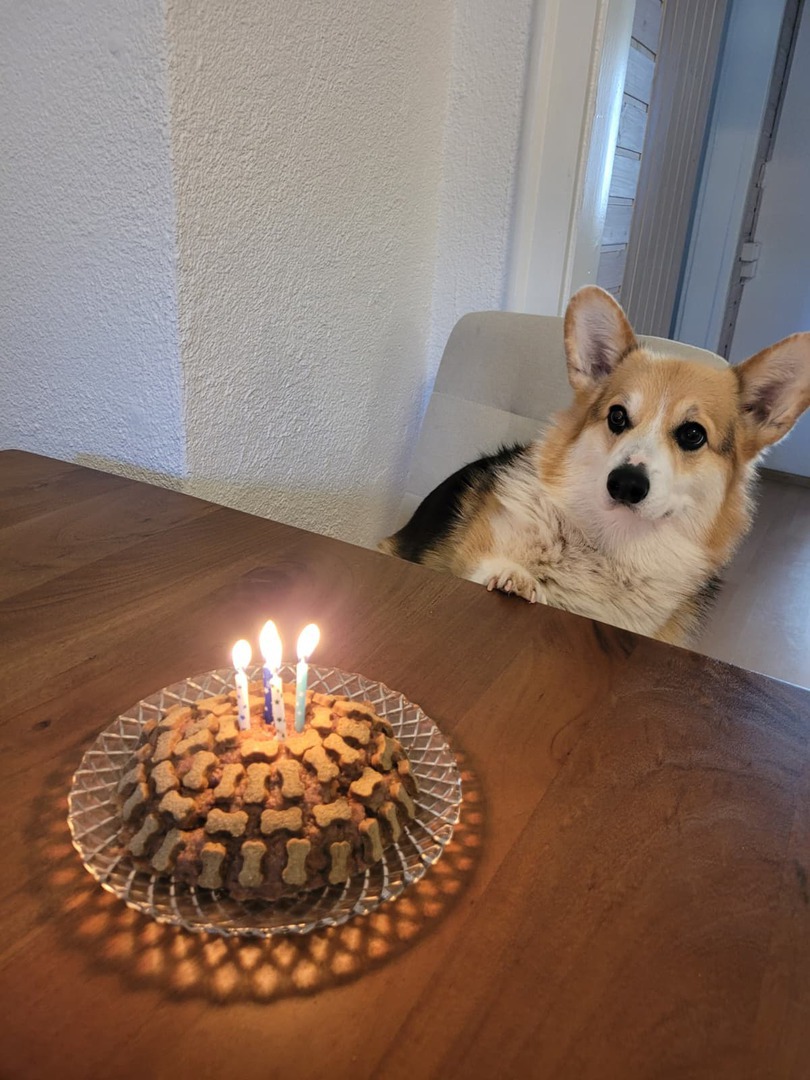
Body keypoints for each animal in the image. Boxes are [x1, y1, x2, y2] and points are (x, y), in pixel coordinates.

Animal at [380, 286, 810, 644]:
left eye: (692, 434)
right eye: (617, 416)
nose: (626, 483)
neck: (607, 547)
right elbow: (488, 569)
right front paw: (513, 578)